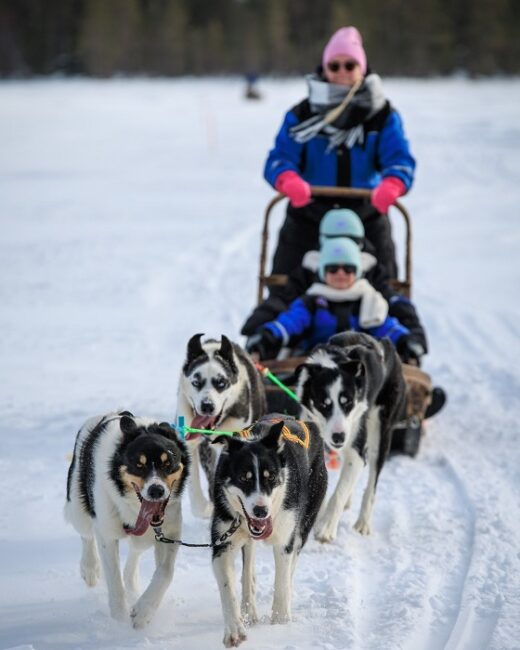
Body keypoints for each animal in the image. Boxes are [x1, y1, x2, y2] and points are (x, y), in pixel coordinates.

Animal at [63, 410, 189, 628]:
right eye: (139, 465)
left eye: (168, 463)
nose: (156, 490)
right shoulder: (106, 534)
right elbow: (114, 581)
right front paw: (119, 620)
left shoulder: (170, 533)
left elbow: (165, 572)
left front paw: (144, 611)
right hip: (78, 508)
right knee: (86, 535)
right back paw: (90, 568)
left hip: (145, 540)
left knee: (135, 551)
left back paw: (131, 582)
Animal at [210, 412, 324, 644]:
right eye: (244, 478)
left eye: (270, 476)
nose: (261, 511)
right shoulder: (222, 543)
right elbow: (228, 589)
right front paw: (235, 629)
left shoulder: (285, 540)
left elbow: (281, 583)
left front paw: (280, 624)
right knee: (248, 570)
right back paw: (249, 611)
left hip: (304, 526)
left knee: (290, 568)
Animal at [294, 332, 408, 540]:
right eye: (324, 404)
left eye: (347, 402)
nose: (339, 437)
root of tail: (386, 344)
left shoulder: (356, 452)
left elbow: (339, 492)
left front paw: (326, 528)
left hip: (380, 433)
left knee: (371, 485)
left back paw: (363, 523)